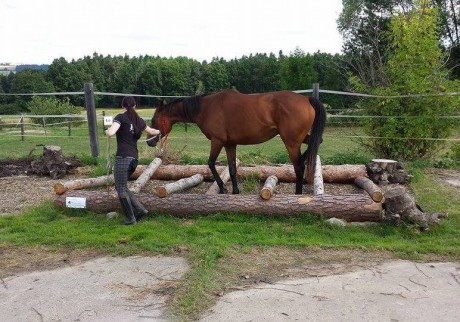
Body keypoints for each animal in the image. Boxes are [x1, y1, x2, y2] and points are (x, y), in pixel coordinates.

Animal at [147, 89, 328, 194]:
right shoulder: (229, 144)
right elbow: (232, 168)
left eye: (154, 120)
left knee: (299, 167)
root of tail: (307, 99)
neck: (206, 107)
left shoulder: (217, 141)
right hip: (299, 138)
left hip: (291, 142)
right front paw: (235, 191)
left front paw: (222, 188)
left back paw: (298, 193)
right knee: (316, 142)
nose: (149, 142)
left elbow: (211, 163)